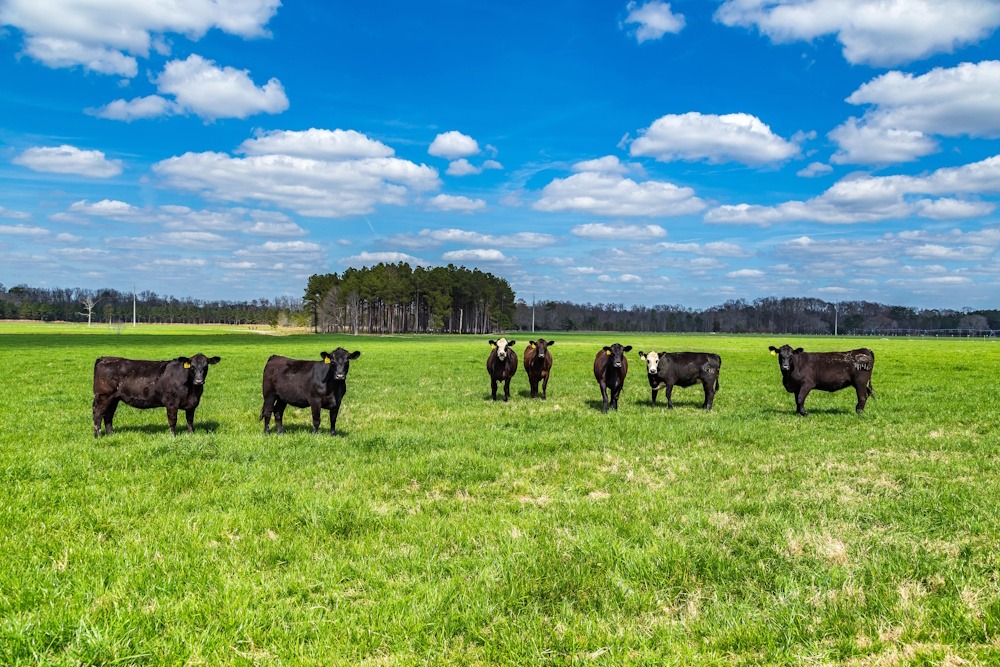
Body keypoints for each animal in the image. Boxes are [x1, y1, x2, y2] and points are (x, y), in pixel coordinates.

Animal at [92, 354, 221, 437]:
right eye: (192, 367)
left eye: (206, 366)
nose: (199, 381)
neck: (192, 390)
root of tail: (104, 358)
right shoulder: (171, 403)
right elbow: (172, 420)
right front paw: (173, 436)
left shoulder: (192, 404)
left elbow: (190, 420)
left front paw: (191, 434)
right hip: (103, 396)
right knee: (98, 414)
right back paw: (97, 435)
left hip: (114, 399)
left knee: (108, 415)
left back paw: (110, 434)